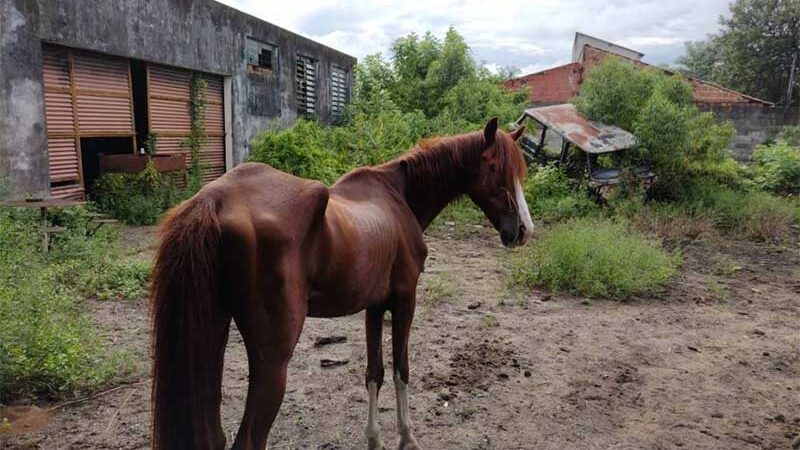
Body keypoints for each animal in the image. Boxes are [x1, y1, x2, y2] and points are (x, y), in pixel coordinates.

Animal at [153, 118, 536, 448]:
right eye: (495, 169)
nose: (522, 231)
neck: (398, 197)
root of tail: (215, 200)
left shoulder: (375, 305)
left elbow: (374, 372)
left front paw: (375, 439)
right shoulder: (405, 299)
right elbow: (401, 369)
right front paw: (407, 438)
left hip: (211, 335)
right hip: (272, 360)